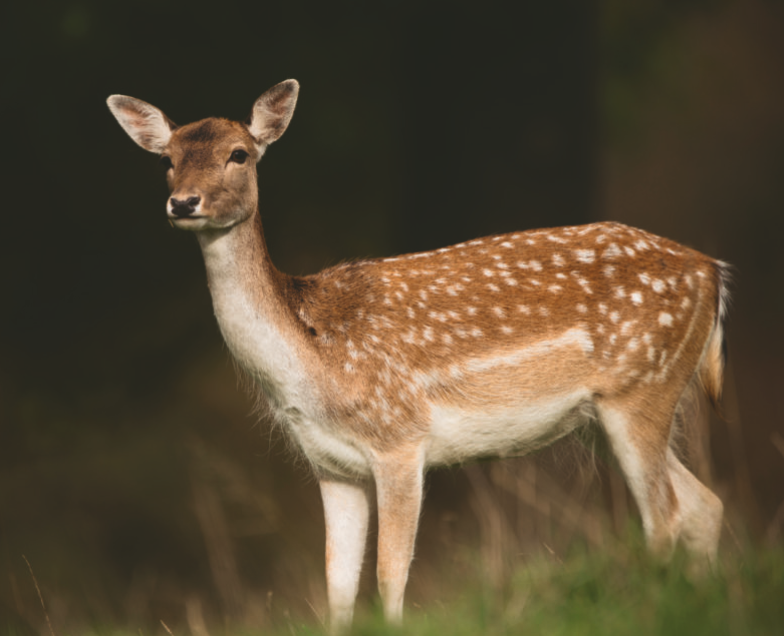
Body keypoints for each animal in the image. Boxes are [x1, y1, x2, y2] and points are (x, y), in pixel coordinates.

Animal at [107, 79, 728, 632]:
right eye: (166, 159)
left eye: (239, 154)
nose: (183, 202)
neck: (311, 359)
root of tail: (712, 272)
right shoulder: (330, 465)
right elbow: (336, 588)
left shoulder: (401, 439)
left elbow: (389, 575)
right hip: (610, 411)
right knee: (706, 504)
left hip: (642, 386)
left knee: (665, 517)